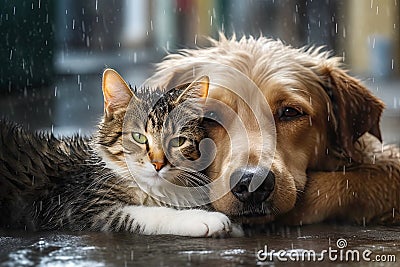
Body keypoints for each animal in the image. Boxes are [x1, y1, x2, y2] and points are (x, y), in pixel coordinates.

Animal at [0, 69, 234, 239]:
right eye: (139, 137)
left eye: (178, 141)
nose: (158, 164)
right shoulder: (79, 208)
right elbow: (143, 213)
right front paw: (202, 219)